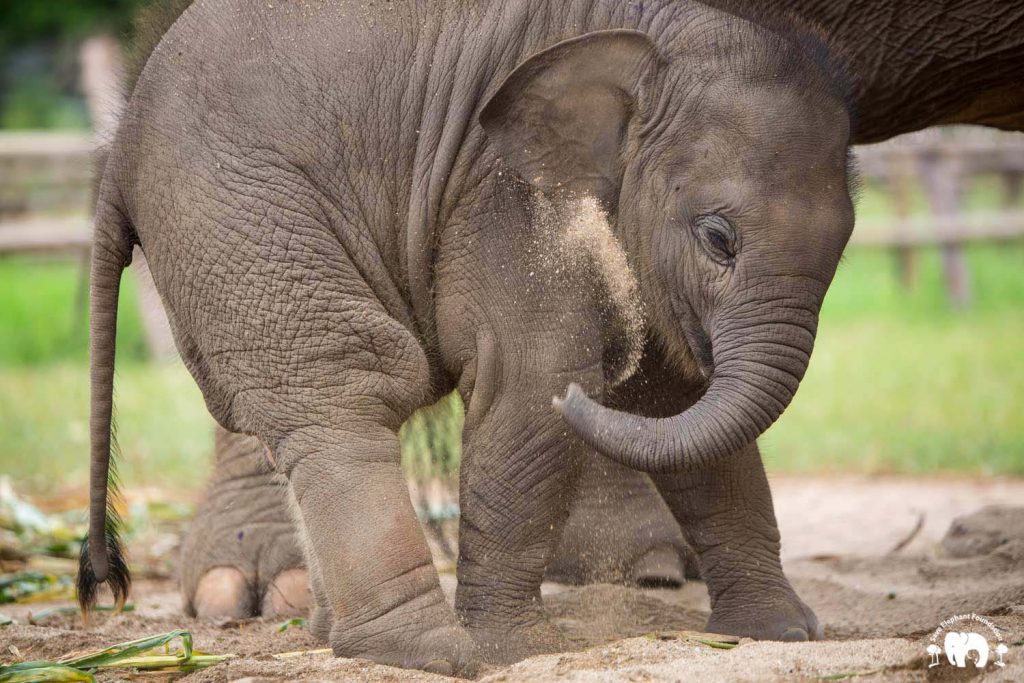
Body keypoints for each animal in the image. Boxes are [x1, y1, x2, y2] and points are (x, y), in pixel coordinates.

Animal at [81, 0, 857, 674]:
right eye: (718, 237)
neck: (645, 37)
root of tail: (115, 155)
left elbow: (678, 407)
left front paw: (780, 632)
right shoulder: (503, 199)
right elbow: (530, 385)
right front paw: (521, 652)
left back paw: (339, 636)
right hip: (239, 215)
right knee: (340, 393)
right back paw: (435, 654)